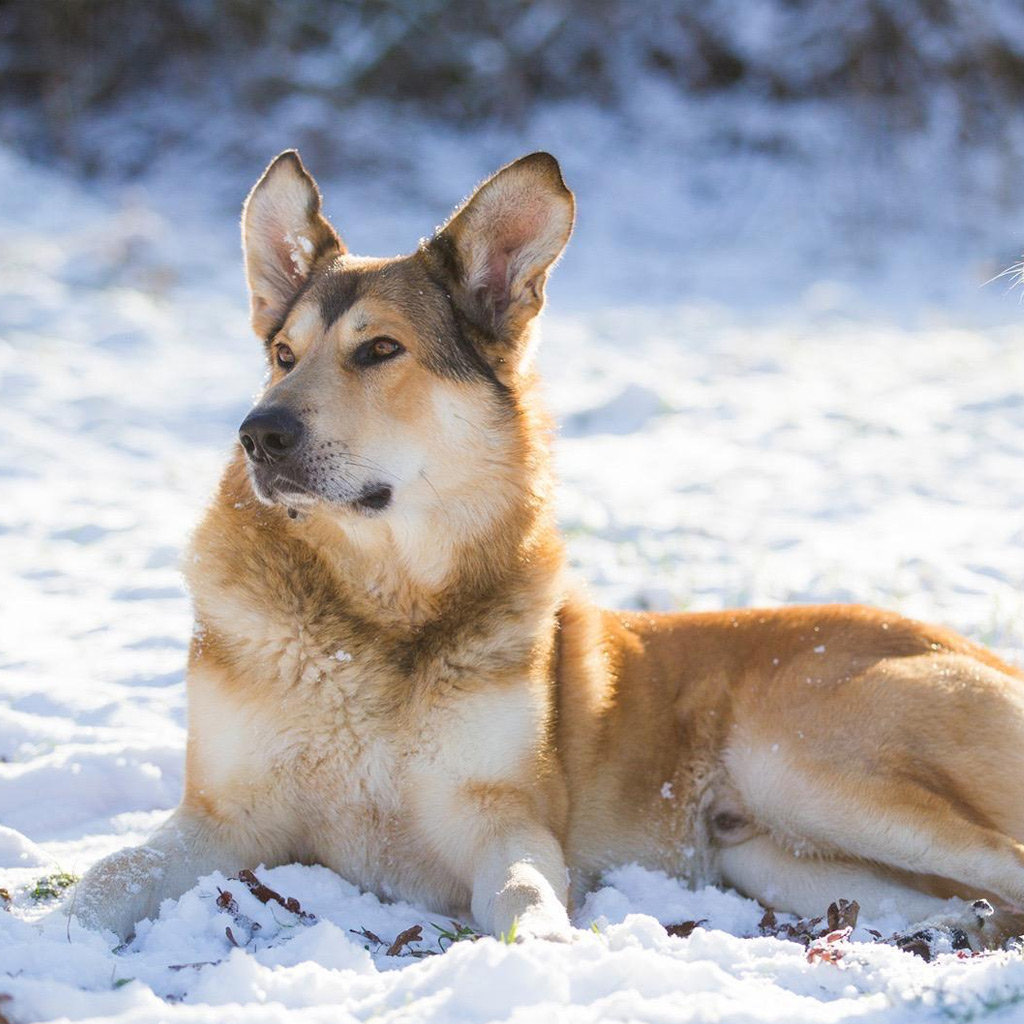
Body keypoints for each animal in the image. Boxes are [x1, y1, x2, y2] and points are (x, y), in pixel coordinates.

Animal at [75, 148, 1024, 946]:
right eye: (281, 353)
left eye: (379, 349)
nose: (258, 434)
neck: (374, 614)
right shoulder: (225, 817)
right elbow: (112, 874)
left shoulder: (500, 813)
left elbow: (524, 889)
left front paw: (540, 957)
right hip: (768, 850)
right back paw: (965, 927)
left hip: (804, 764)